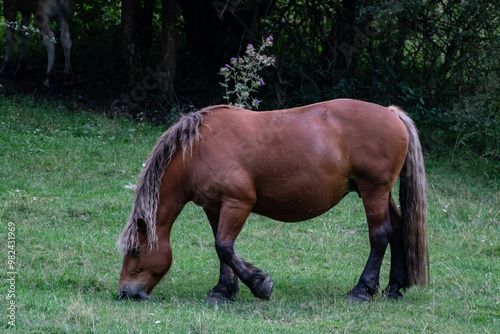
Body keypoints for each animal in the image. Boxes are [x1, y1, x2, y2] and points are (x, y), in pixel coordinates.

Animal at [118, 98, 430, 302]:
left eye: (135, 250)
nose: (125, 292)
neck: (197, 151)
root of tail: (391, 114)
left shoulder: (238, 202)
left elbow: (224, 247)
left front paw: (259, 284)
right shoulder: (214, 207)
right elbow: (222, 250)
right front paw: (223, 291)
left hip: (373, 191)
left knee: (380, 235)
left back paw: (362, 290)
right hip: (380, 192)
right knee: (398, 229)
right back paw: (394, 288)